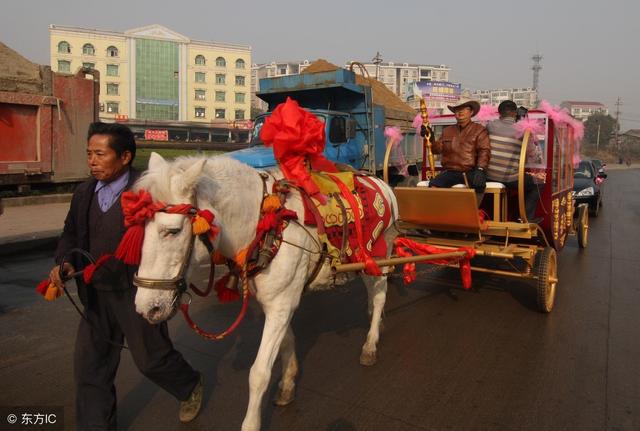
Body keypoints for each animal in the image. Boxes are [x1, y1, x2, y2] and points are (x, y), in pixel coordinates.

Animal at [133, 153, 398, 431]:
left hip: (378, 256)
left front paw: (251, 423)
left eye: (172, 231)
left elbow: (259, 373)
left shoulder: (280, 305)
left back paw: (370, 344)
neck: (264, 224)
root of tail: (382, 183)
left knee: (379, 294)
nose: (146, 307)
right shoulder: (276, 304)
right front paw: (288, 383)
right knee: (372, 295)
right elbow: (286, 343)